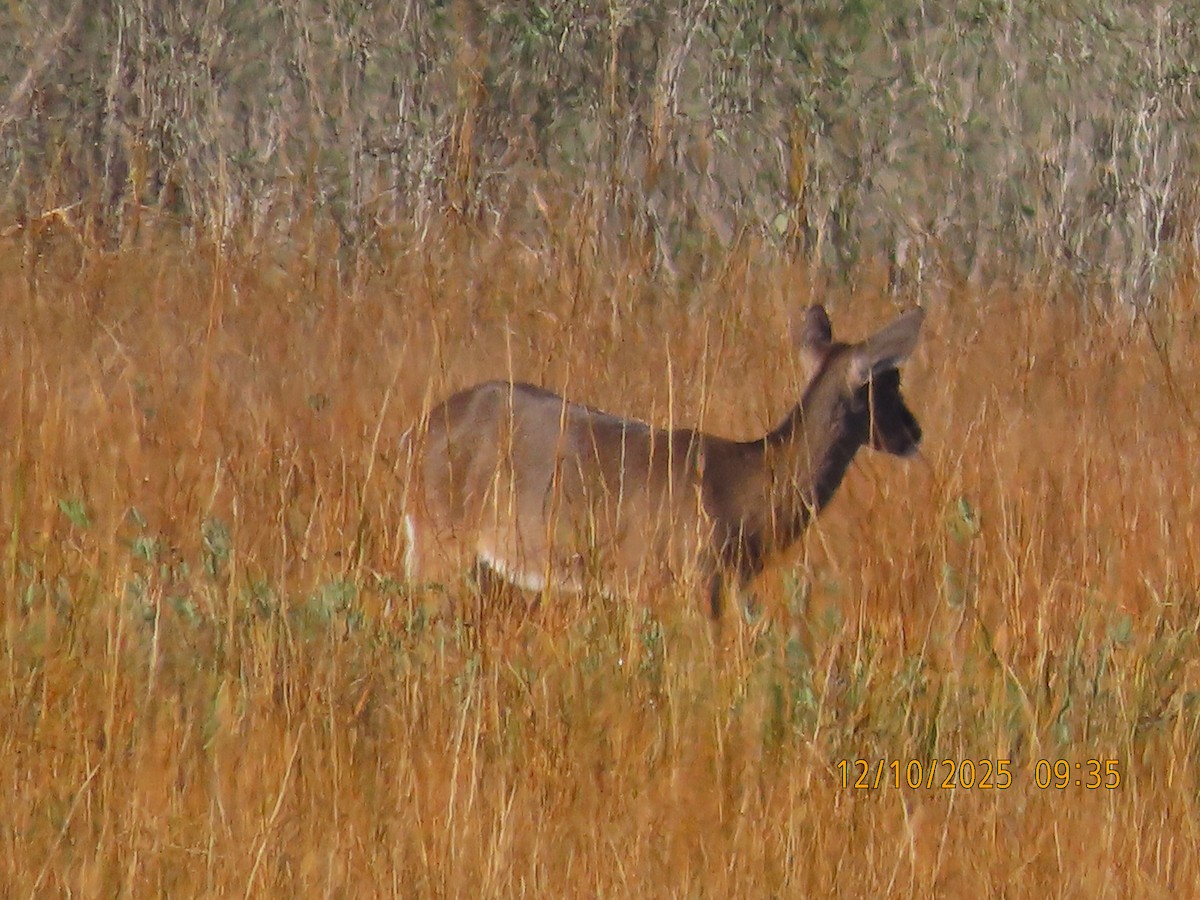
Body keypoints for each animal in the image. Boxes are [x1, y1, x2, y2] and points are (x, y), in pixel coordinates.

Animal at [401, 305, 924, 622]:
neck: (744, 490)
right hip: (441, 540)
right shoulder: (693, 576)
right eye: (890, 382)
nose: (914, 431)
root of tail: (415, 435)